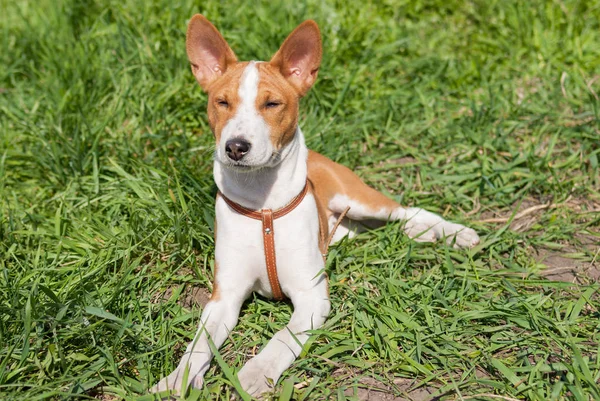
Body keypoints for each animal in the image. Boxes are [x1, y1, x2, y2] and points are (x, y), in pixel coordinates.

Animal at [152, 15, 480, 396]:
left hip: (356, 197)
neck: (263, 207)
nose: (236, 146)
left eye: (272, 104)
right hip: (343, 227)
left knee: (405, 211)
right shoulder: (225, 296)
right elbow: (199, 343)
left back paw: (453, 233)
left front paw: (254, 374)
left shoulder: (312, 296)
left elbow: (282, 337)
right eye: (221, 102)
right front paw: (178, 379)